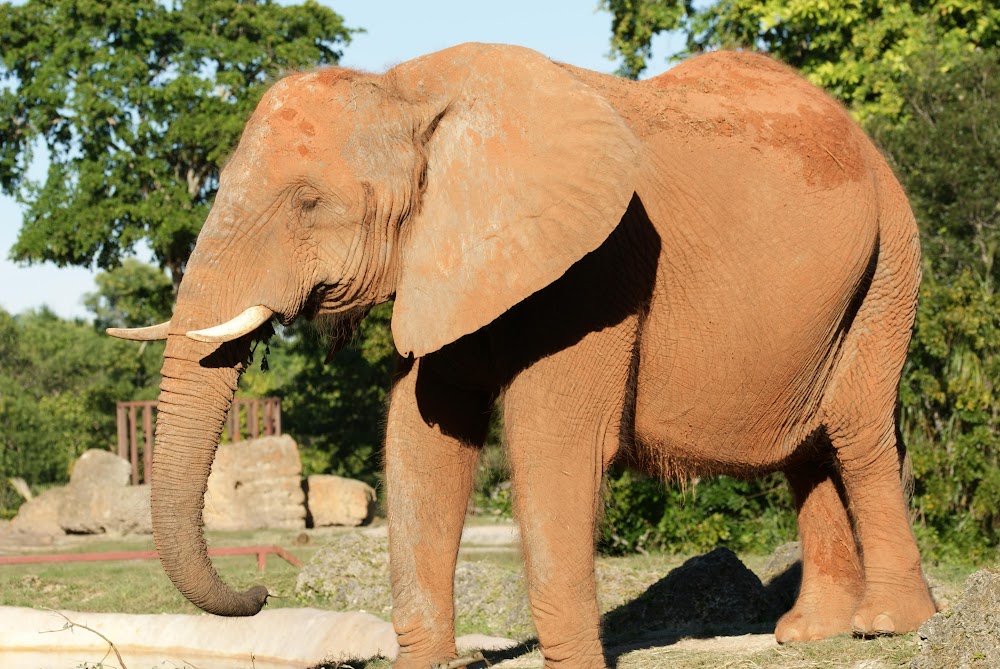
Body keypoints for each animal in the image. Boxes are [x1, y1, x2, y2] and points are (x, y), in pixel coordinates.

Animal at [109, 43, 936, 668]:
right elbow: (423, 437)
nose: (261, 595)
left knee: (854, 427)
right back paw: (806, 634)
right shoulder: (447, 258)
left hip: (893, 257)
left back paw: (886, 625)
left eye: (308, 204)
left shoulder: (599, 268)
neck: (408, 91)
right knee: (808, 447)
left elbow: (550, 444)